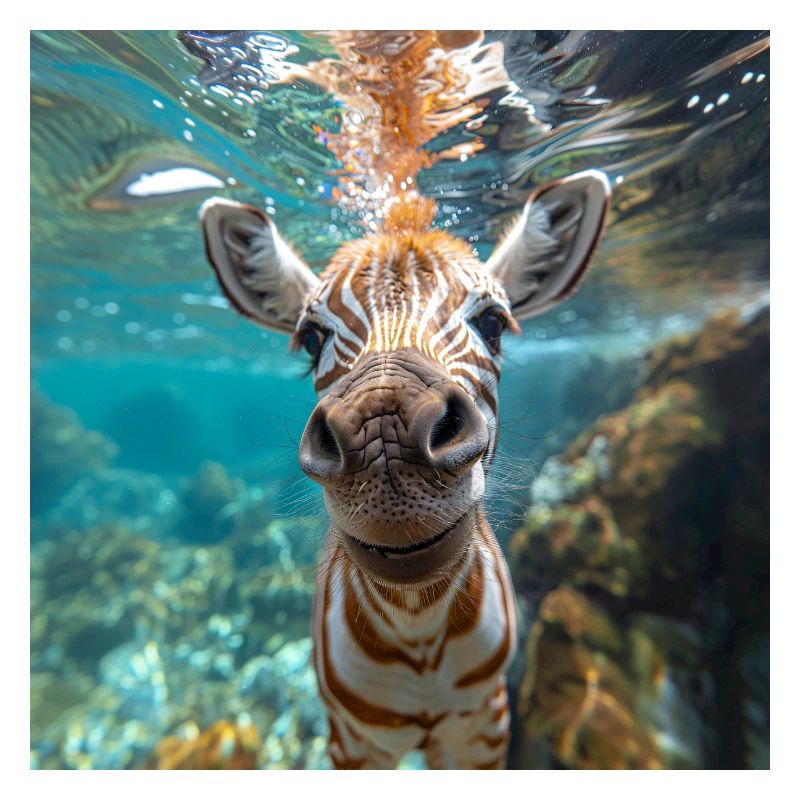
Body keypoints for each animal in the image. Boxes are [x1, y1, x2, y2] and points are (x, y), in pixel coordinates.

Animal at [199, 170, 610, 769]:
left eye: (493, 323)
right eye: (312, 338)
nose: (383, 437)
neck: (420, 626)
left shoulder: (482, 726)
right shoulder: (352, 741)